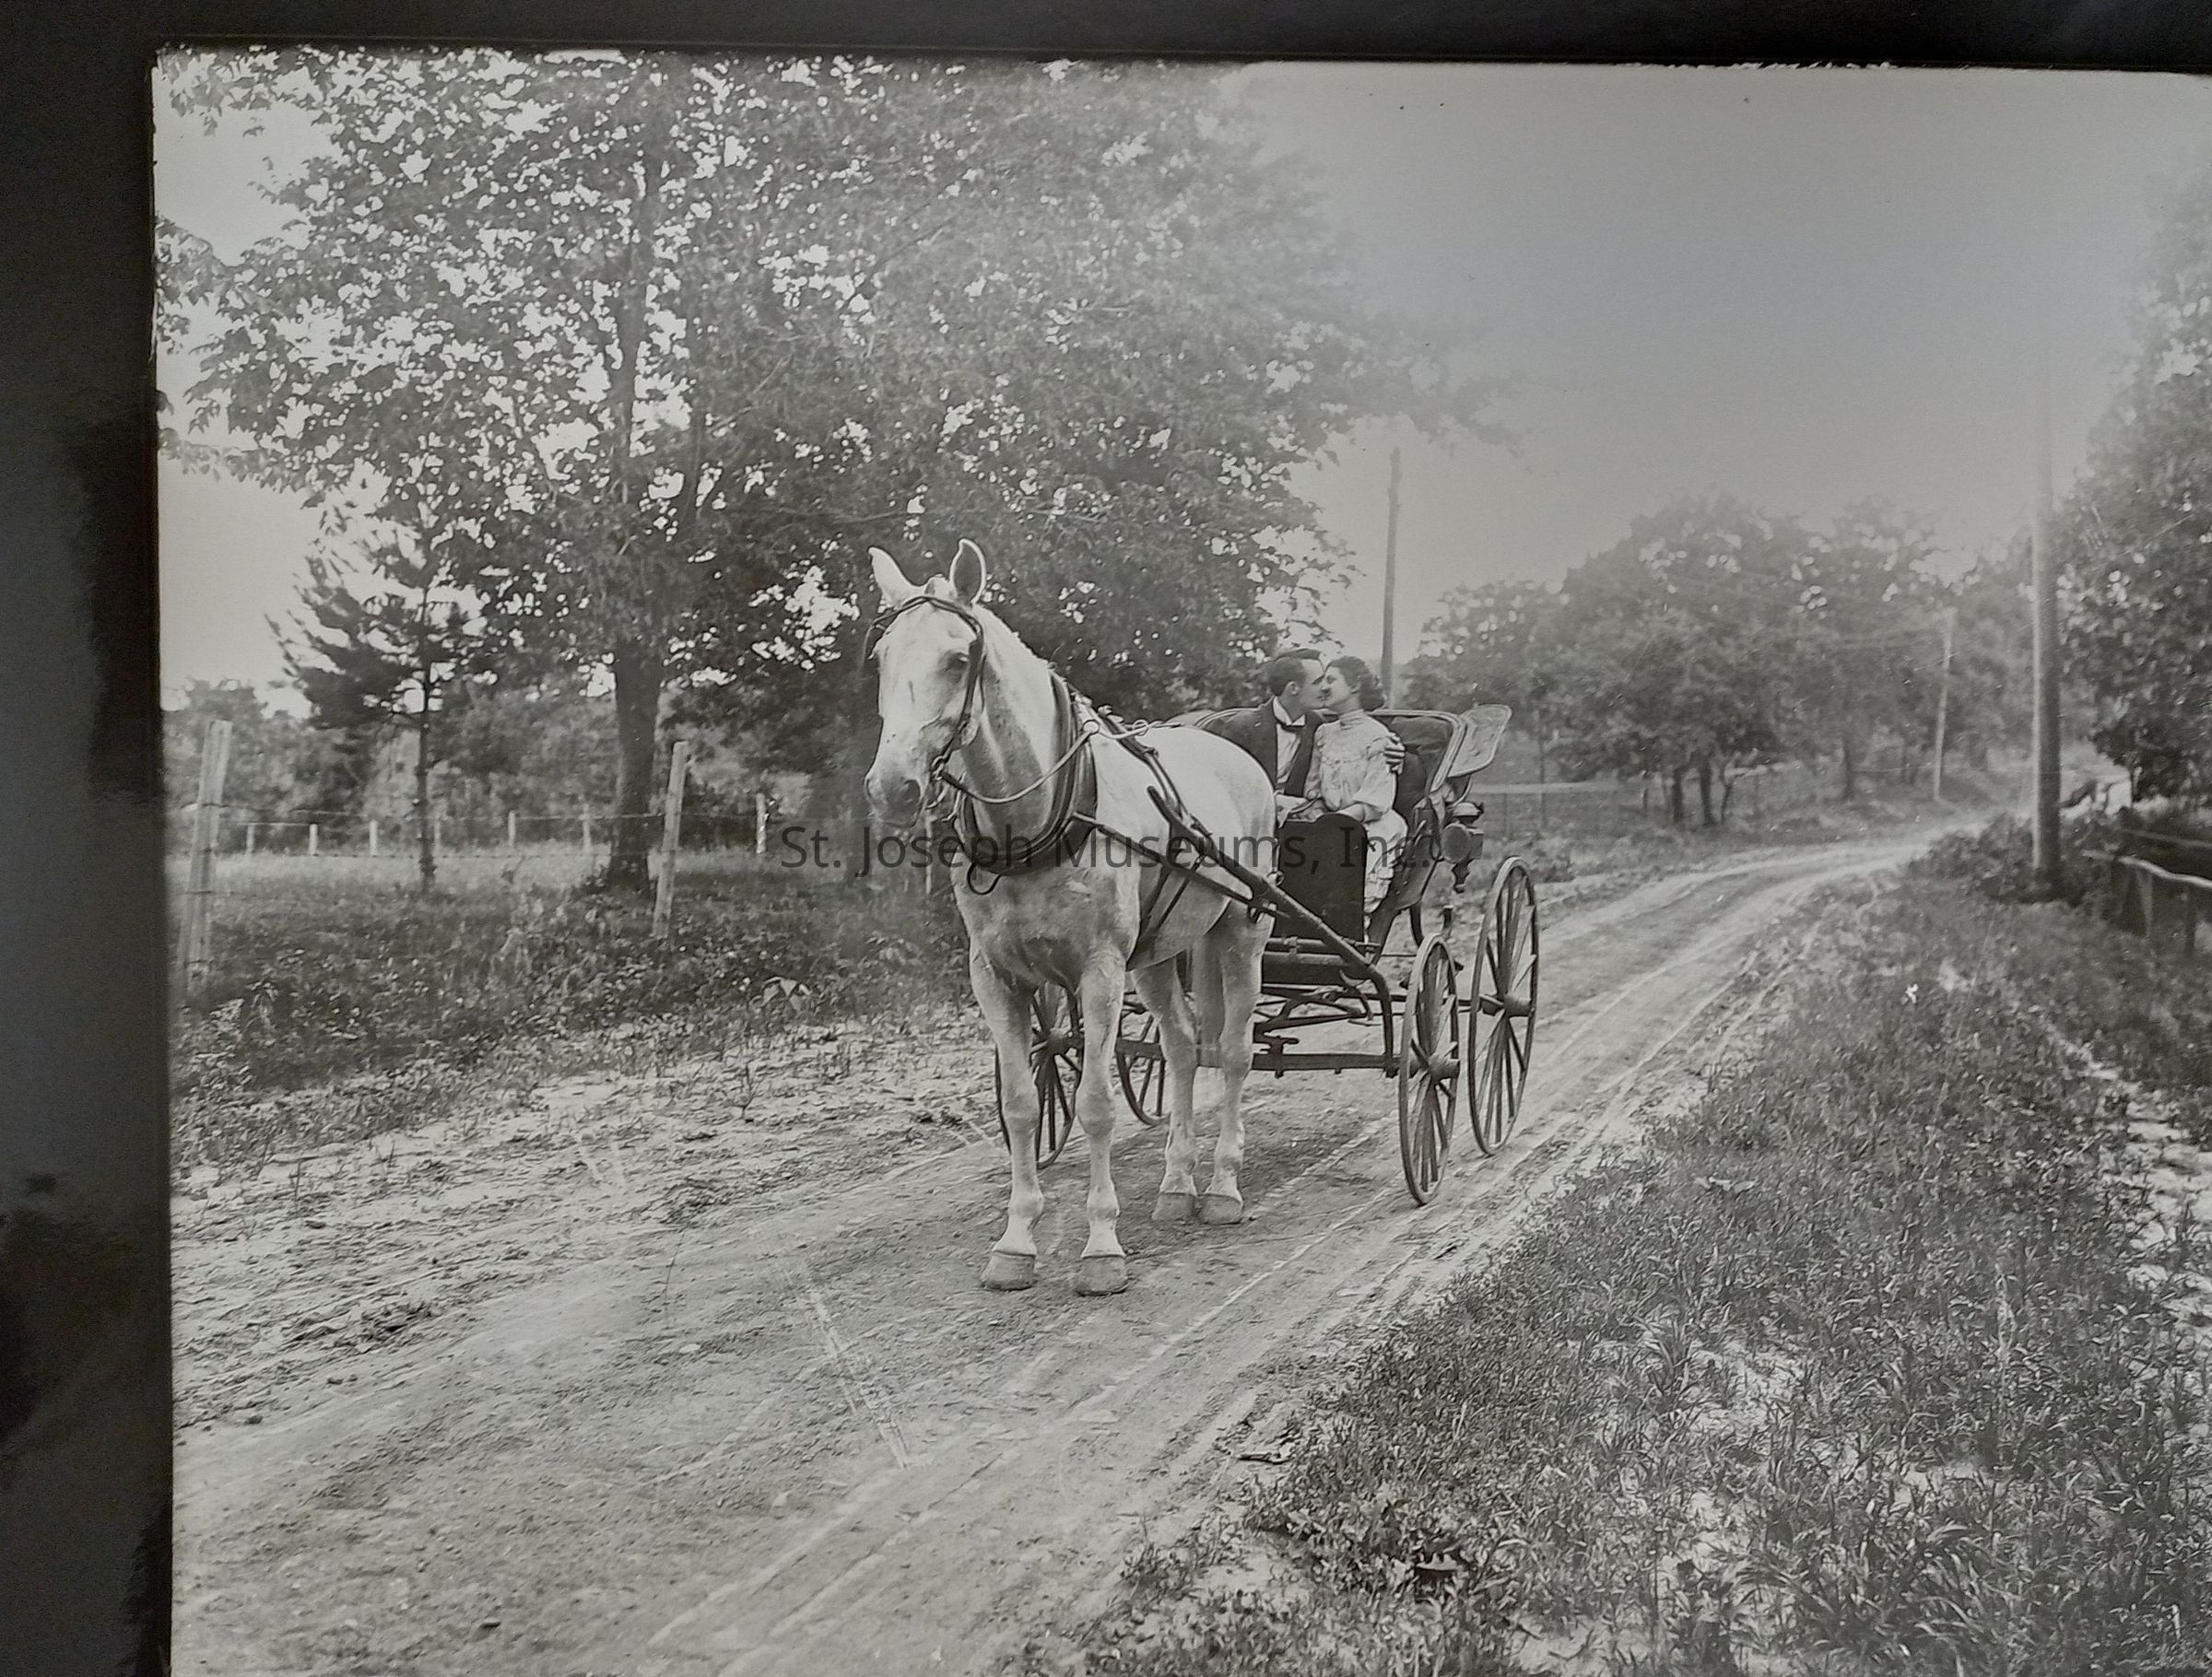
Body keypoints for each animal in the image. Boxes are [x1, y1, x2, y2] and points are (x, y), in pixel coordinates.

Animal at [863, 539, 1277, 1296]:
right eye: (882, 657)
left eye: (957, 660)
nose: (892, 787)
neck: (1035, 822)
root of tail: (1231, 748)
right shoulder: (995, 978)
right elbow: (1023, 1105)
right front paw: (1016, 1242)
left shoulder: (1100, 972)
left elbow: (1095, 1105)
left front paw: (1102, 1247)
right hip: (1158, 956)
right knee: (1181, 1047)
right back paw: (1177, 1185)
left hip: (1241, 931)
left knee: (1232, 1052)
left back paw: (1224, 1186)